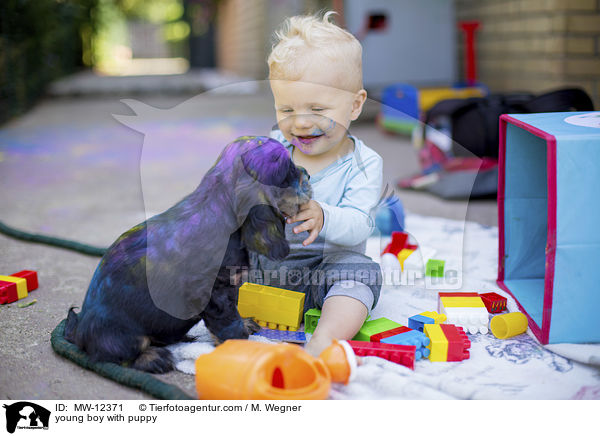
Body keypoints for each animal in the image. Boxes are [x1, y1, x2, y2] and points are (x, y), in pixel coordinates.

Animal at [63, 135, 312, 372]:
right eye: (289, 171)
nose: (308, 174)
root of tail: (79, 332)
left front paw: (246, 324)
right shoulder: (216, 293)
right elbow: (228, 323)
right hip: (124, 335)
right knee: (118, 355)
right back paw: (154, 359)